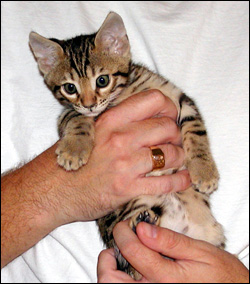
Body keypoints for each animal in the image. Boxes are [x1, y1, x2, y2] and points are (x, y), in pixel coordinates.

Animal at [28, 11, 225, 280]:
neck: (124, 93)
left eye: (102, 80)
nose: (90, 104)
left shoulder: (180, 100)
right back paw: (142, 222)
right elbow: (75, 118)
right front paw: (73, 149)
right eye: (70, 88)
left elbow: (195, 131)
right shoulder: (67, 113)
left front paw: (204, 171)